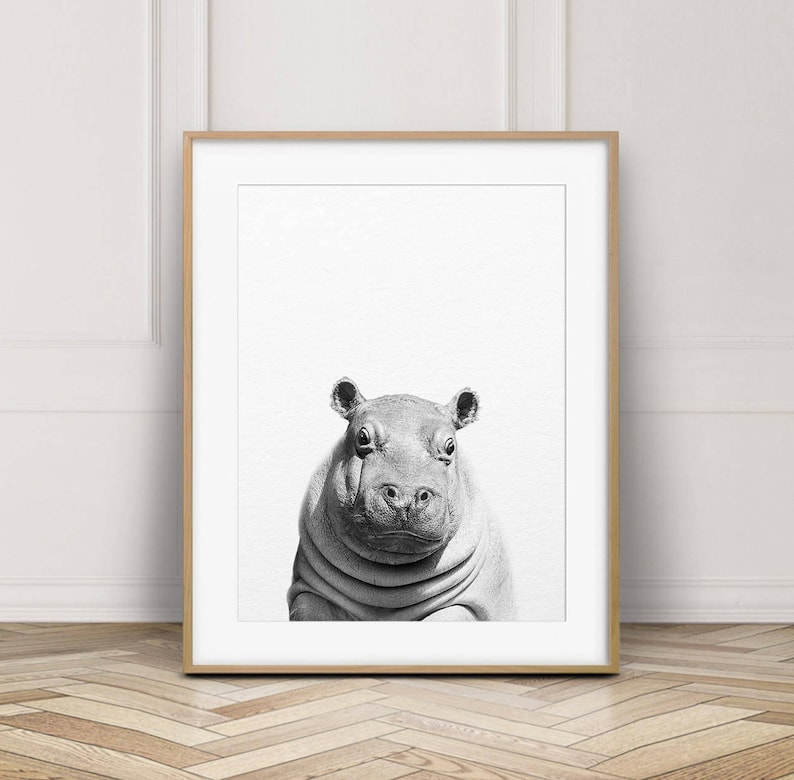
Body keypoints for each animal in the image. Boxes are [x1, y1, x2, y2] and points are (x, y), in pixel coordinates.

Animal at [287, 378, 514, 621]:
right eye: (362, 437)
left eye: (450, 446)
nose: (406, 495)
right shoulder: (307, 591)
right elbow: (307, 608)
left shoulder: (470, 605)